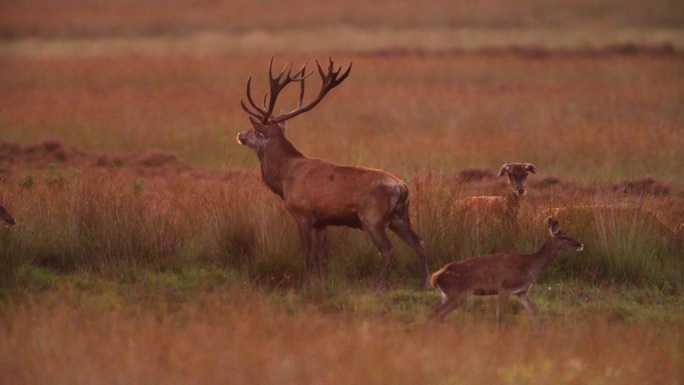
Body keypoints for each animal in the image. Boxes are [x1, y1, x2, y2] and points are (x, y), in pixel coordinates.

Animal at [235, 57, 428, 292]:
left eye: (255, 131)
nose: (240, 135)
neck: (285, 178)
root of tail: (402, 188)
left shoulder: (302, 213)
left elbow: (306, 253)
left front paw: (306, 286)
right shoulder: (322, 220)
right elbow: (321, 255)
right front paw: (323, 283)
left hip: (373, 217)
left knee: (389, 249)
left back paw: (377, 287)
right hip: (399, 216)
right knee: (419, 241)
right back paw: (426, 283)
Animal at [428, 216, 584, 332]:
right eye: (564, 237)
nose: (580, 244)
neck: (529, 267)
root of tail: (436, 276)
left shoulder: (521, 291)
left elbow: (532, 312)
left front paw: (540, 335)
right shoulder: (504, 286)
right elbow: (500, 316)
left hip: (447, 293)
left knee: (439, 313)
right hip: (458, 293)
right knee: (437, 311)